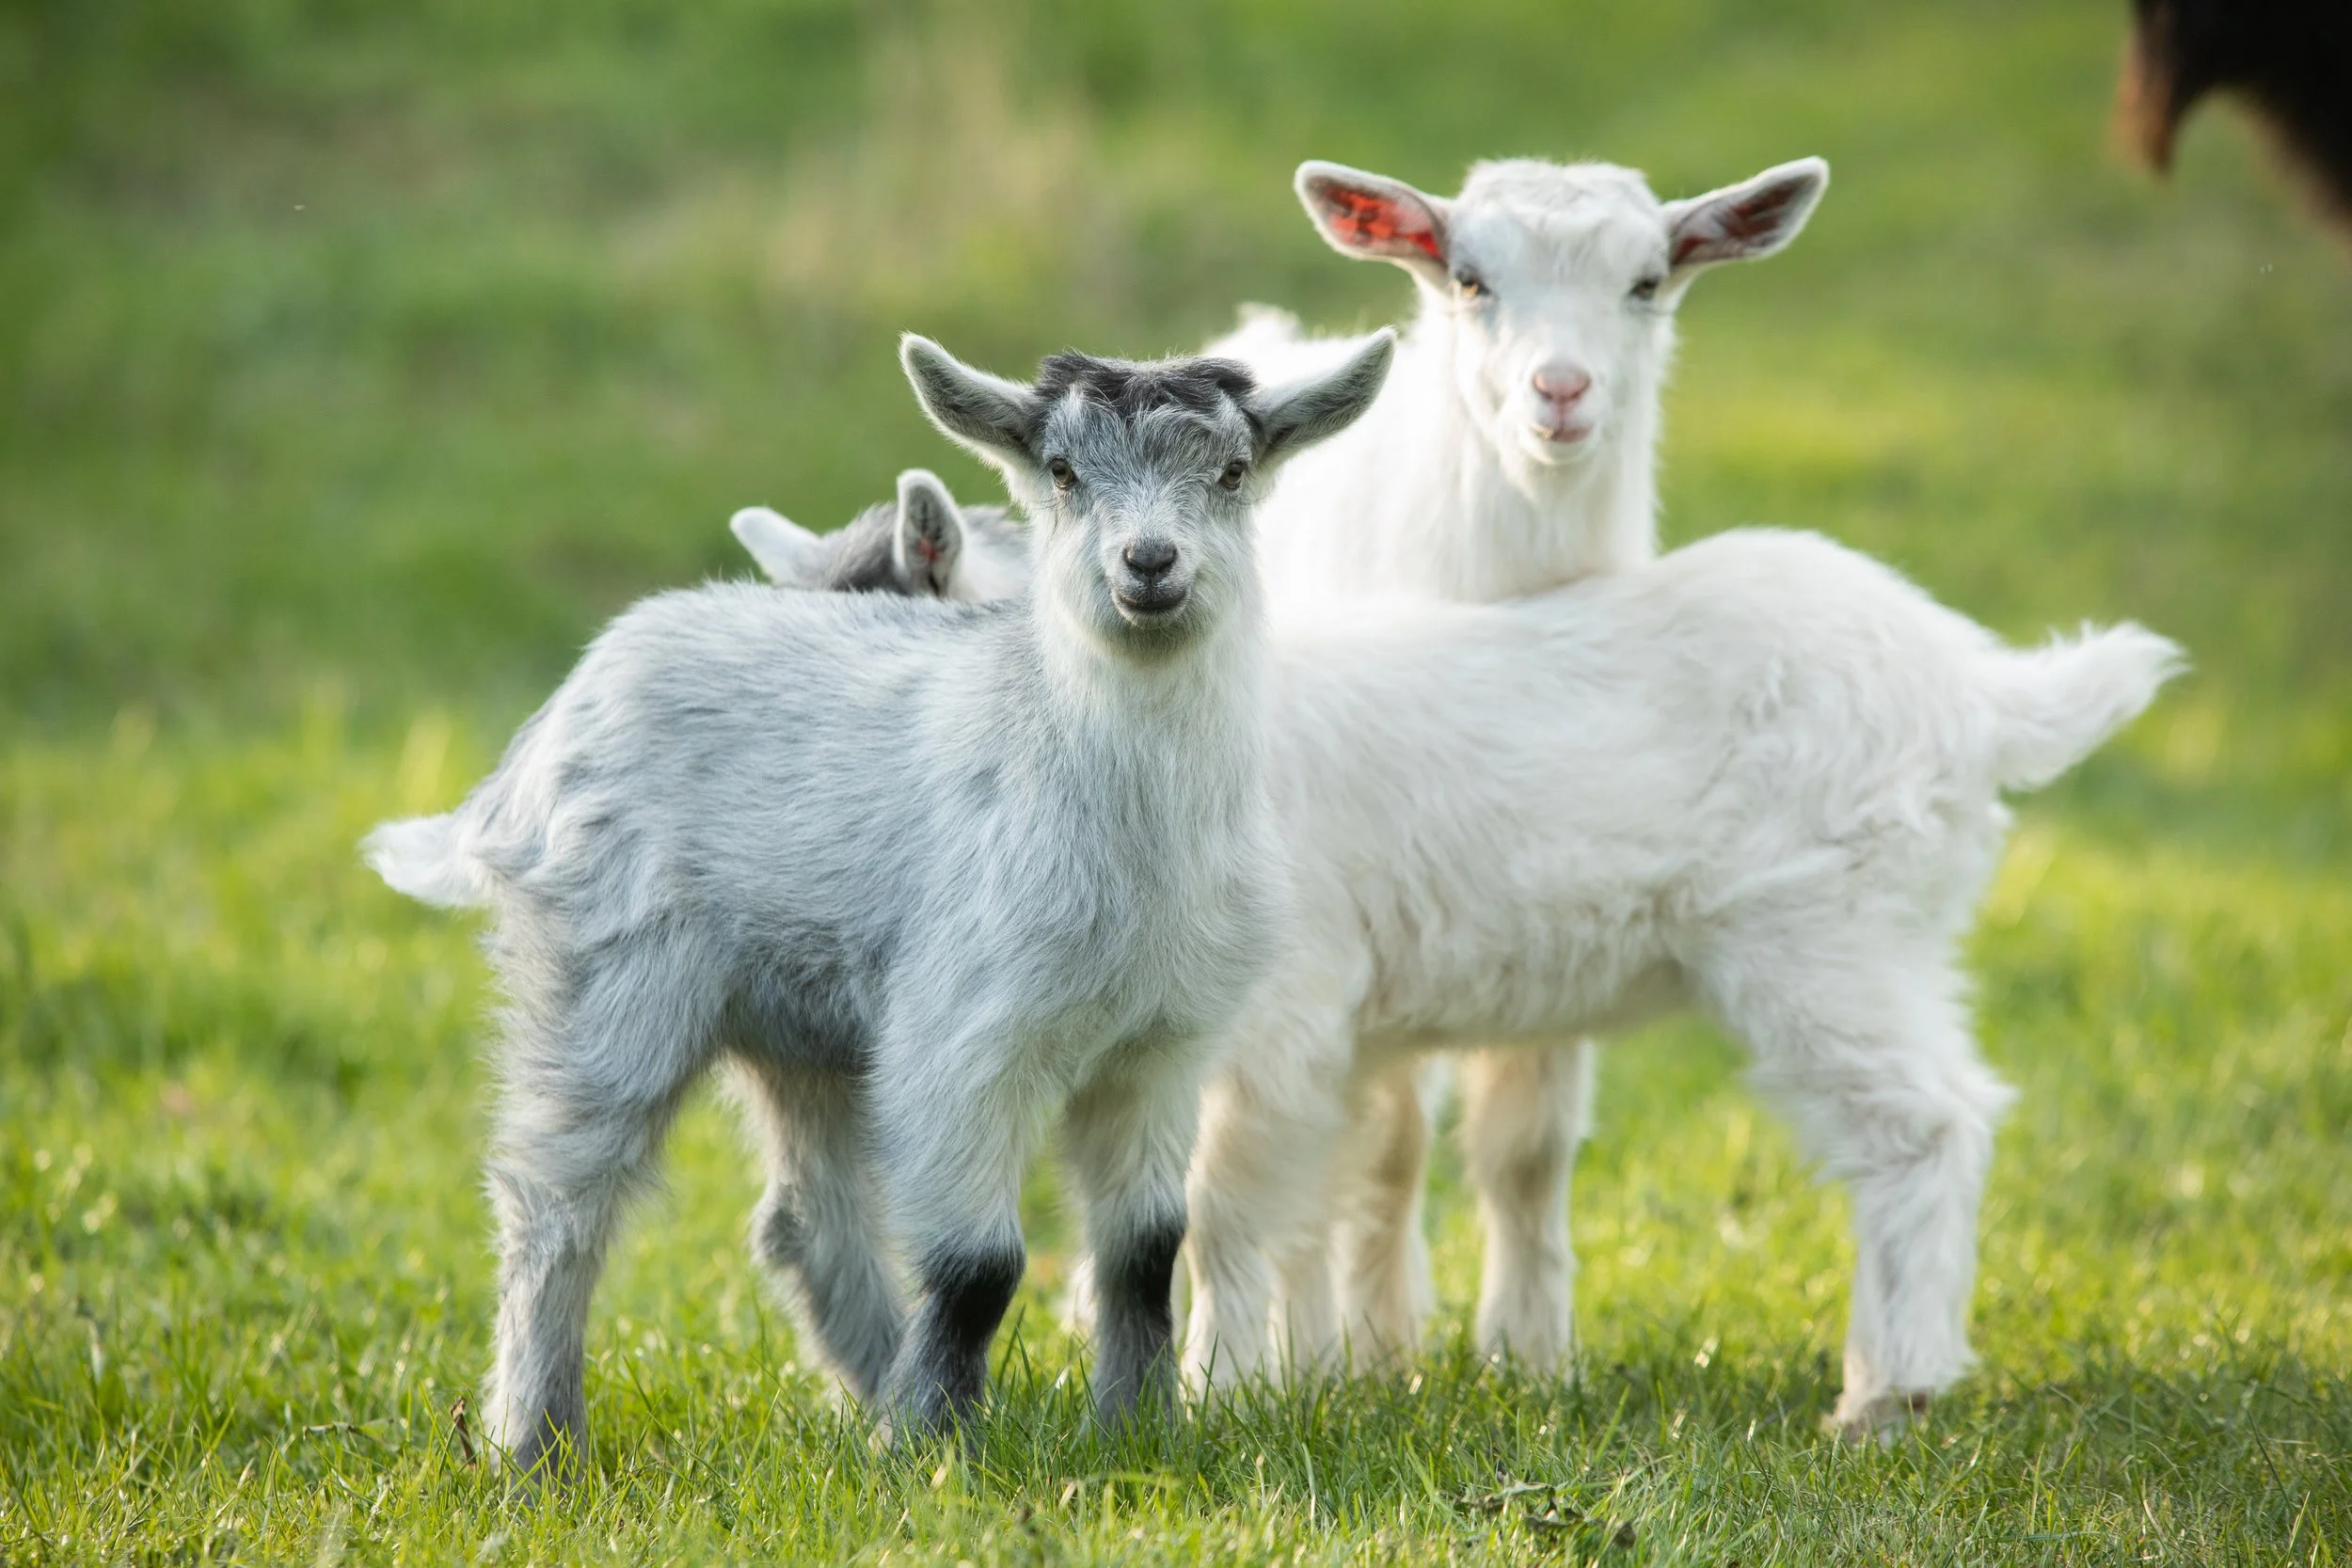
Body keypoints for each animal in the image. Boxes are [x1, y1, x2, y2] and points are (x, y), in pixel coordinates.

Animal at [363, 329, 1396, 1473]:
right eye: (1063, 474)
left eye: (1232, 473)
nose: (1149, 563)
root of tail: (538, 743)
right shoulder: (961, 1037)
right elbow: (981, 1263)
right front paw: (935, 1452)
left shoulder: (1162, 1048)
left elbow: (1144, 1249)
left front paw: (1137, 1431)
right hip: (602, 975)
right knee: (556, 1205)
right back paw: (537, 1447)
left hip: (803, 1025)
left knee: (804, 1218)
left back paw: (868, 1388)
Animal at [1176, 528, 2182, 1439]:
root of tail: (1981, 697)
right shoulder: (1325, 1044)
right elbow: (1314, 1211)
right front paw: (1303, 1381)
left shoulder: (1279, 1011)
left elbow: (1220, 1212)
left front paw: (1212, 1400)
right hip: (1896, 937)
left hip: (1825, 932)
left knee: (1925, 1124)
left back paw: (1883, 1397)